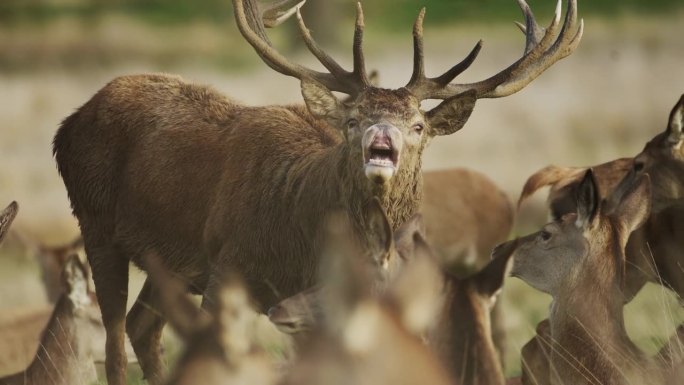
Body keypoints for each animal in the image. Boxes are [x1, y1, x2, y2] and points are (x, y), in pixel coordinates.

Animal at [50, 0, 584, 380]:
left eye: (417, 125)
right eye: (353, 119)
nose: (381, 138)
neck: (301, 238)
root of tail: (68, 122)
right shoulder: (226, 268)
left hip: (173, 263)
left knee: (143, 327)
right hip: (95, 222)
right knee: (115, 341)